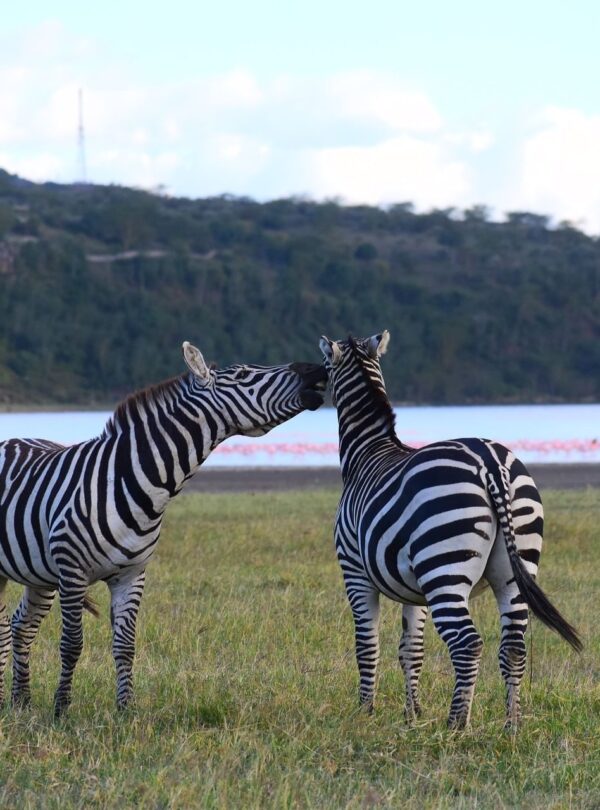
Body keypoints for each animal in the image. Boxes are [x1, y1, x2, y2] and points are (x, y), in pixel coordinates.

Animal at [0, 341, 326, 717]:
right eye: (244, 374)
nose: (317, 369)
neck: (133, 479)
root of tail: (12, 438)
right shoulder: (72, 570)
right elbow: (72, 643)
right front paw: (61, 711)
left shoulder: (131, 573)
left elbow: (125, 645)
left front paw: (126, 711)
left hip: (39, 574)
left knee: (21, 626)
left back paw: (20, 701)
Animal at [319, 330, 582, 729]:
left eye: (324, 369)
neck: (367, 453)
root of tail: (491, 463)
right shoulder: (414, 591)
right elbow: (411, 650)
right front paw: (413, 714)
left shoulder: (354, 572)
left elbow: (367, 645)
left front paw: (365, 712)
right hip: (514, 568)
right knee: (514, 645)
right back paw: (512, 724)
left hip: (445, 568)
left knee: (467, 643)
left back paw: (457, 724)